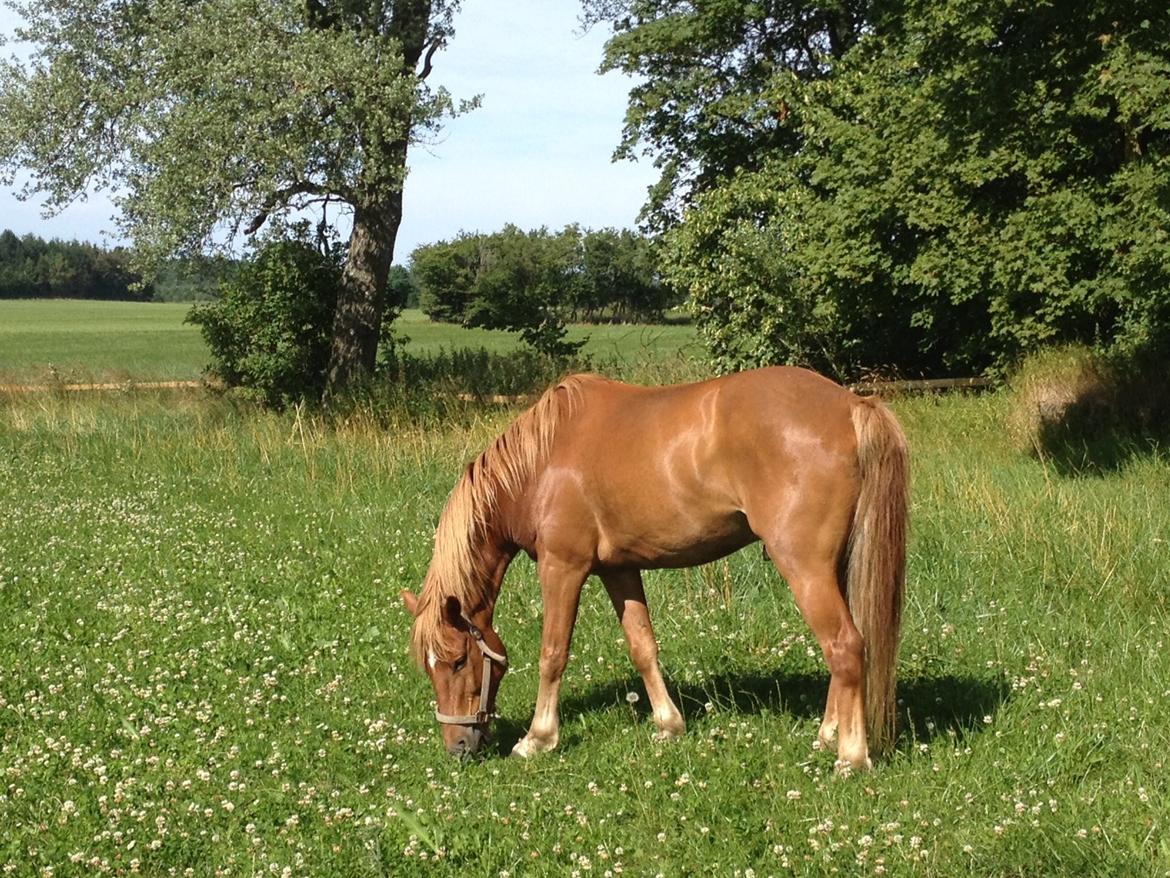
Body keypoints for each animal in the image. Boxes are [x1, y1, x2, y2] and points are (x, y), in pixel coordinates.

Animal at [397, 365, 907, 767]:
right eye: (428, 667)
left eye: (458, 660)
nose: (458, 747)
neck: (540, 464)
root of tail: (853, 405)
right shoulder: (618, 570)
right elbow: (642, 645)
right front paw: (668, 724)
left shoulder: (563, 567)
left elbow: (553, 653)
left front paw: (538, 738)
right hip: (833, 566)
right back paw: (828, 736)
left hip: (804, 567)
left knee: (844, 646)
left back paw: (850, 756)